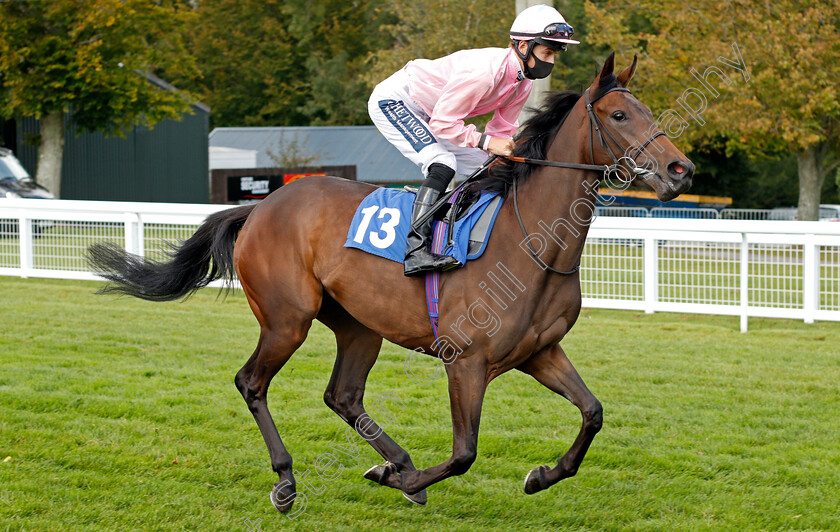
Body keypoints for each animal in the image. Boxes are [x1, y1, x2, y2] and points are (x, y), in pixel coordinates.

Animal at [90, 53, 696, 512]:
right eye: (618, 114)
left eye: (643, 110)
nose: (679, 170)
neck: (532, 243)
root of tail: (261, 206)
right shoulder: (466, 361)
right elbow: (463, 453)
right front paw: (399, 480)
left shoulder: (539, 352)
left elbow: (593, 413)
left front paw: (540, 475)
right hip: (288, 319)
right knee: (251, 382)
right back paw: (289, 480)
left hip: (359, 325)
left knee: (342, 394)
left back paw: (393, 459)